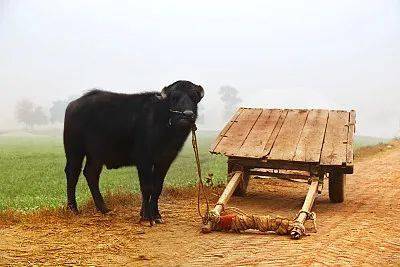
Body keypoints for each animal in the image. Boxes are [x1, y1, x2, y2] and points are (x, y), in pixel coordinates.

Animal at [65, 80, 206, 225]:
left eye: (194, 98)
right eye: (174, 98)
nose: (187, 115)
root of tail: (73, 105)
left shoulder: (165, 161)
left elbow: (157, 188)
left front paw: (156, 215)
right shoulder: (144, 160)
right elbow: (146, 187)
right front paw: (146, 216)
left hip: (96, 155)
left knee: (91, 174)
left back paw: (104, 208)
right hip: (74, 150)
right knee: (72, 173)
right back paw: (73, 208)